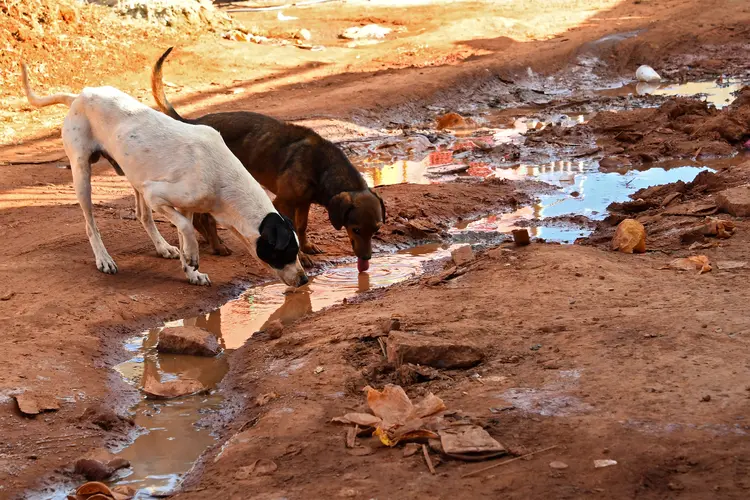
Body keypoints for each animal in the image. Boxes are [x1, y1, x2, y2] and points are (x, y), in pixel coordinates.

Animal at [20, 64, 308, 288]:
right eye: (286, 252)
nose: (305, 279)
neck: (225, 183)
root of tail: (80, 95)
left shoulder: (185, 205)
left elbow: (184, 230)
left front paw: (191, 271)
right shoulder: (156, 195)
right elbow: (186, 229)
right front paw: (192, 257)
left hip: (134, 174)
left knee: (142, 215)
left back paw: (162, 247)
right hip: (83, 173)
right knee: (91, 224)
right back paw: (104, 258)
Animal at [153, 47, 388, 270]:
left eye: (376, 230)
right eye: (356, 229)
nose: (366, 258)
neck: (322, 167)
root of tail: (193, 122)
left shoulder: (303, 203)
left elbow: (302, 226)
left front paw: (306, 247)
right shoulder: (283, 202)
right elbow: (291, 230)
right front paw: (301, 257)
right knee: (205, 218)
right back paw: (217, 246)